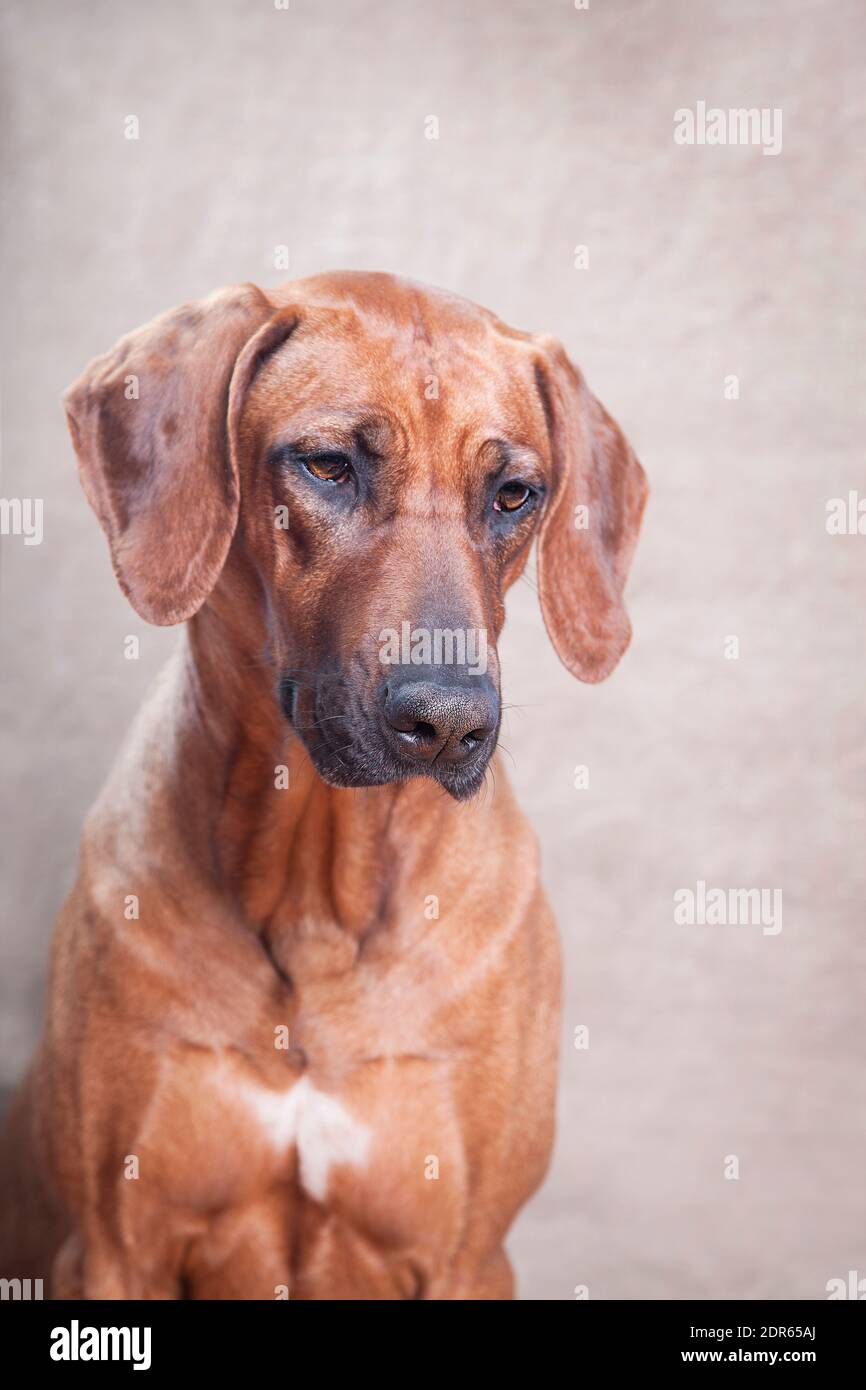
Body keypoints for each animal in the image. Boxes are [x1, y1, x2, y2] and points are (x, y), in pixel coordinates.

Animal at [0, 273, 647, 1301]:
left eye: (514, 495)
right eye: (328, 467)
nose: (449, 721)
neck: (315, 899)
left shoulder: (469, 1257)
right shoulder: (110, 1251)